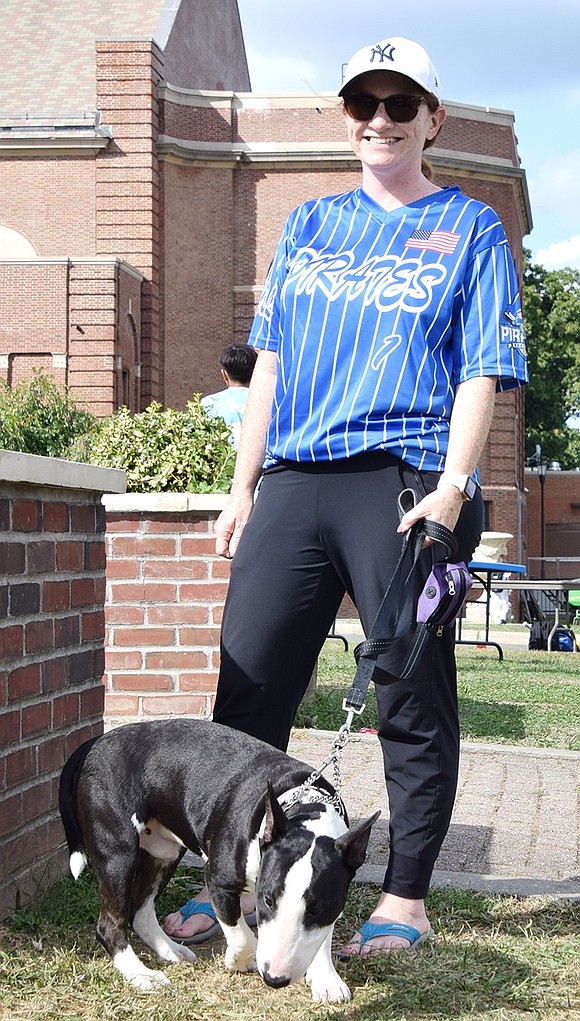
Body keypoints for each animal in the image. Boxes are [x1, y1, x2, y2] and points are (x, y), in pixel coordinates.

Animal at [57, 722, 375, 1000]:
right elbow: (243, 936)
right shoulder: (219, 882)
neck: (303, 804)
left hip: (162, 852)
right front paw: (241, 960)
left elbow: (321, 936)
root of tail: (95, 743)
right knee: (110, 924)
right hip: (118, 853)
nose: (275, 978)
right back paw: (140, 973)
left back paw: (170, 950)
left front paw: (326, 979)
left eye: (317, 908)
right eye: (267, 900)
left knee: (140, 912)